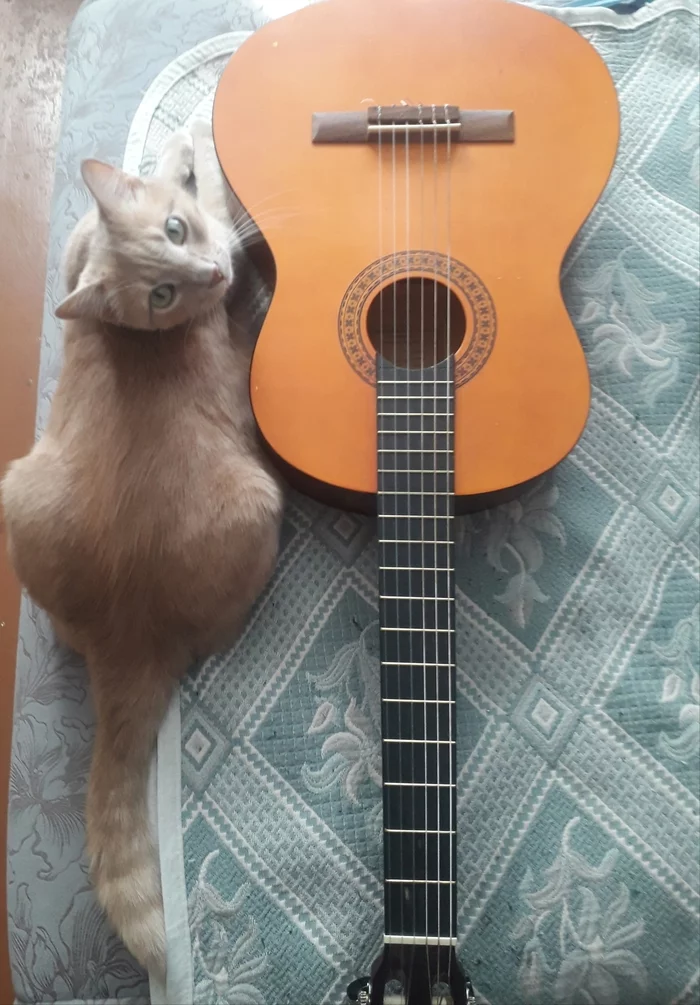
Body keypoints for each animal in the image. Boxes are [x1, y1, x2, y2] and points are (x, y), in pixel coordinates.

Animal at [1, 121, 283, 976]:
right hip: (262, 504)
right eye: (161, 294)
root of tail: (126, 634)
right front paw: (194, 137)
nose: (211, 272)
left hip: (18, 487)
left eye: (174, 231)